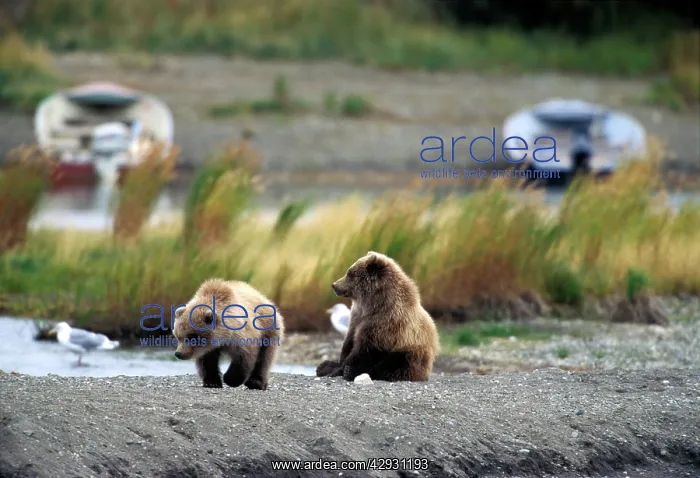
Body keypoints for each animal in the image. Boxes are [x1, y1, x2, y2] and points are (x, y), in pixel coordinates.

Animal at [316, 251, 439, 382]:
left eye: (350, 273)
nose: (334, 285)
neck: (373, 305)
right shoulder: (356, 317)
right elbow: (349, 340)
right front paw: (328, 366)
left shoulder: (385, 323)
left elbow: (365, 350)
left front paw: (343, 369)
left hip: (412, 351)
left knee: (394, 363)